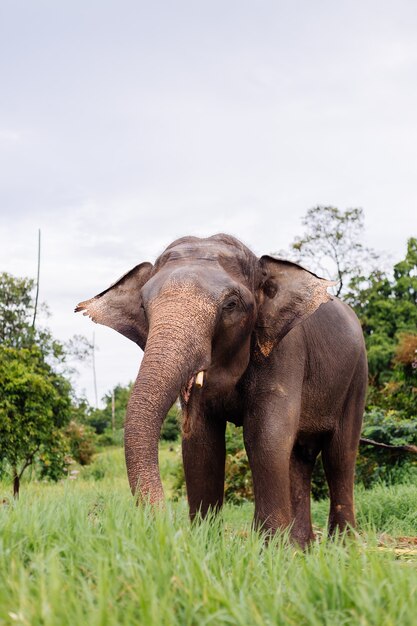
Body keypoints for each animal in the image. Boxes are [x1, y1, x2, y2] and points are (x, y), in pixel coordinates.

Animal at [76, 232, 366, 544]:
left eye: (231, 305)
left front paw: (269, 549)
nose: (165, 523)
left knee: (340, 454)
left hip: (357, 376)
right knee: (300, 456)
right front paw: (206, 543)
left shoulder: (286, 351)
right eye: (143, 306)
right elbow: (201, 444)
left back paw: (343, 546)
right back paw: (303, 547)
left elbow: (266, 436)